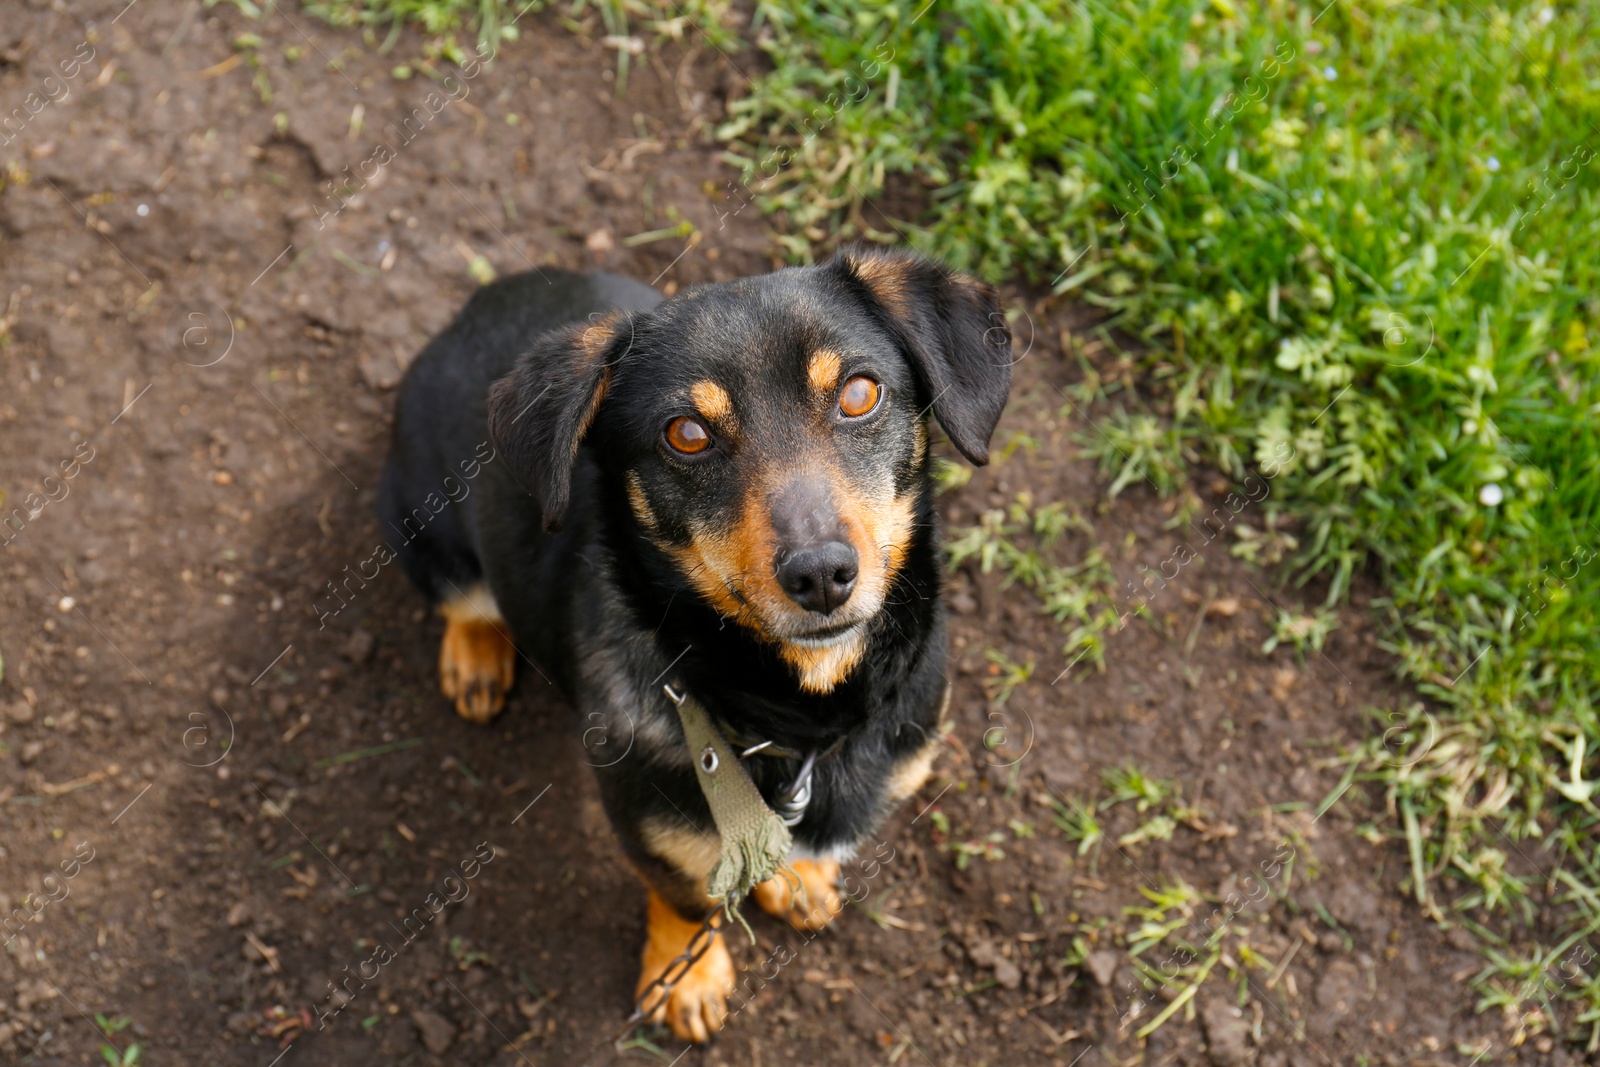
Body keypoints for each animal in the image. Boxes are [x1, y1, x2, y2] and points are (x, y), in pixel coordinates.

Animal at [382, 246, 1011, 1036]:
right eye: (687, 434)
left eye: (860, 393)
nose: (821, 574)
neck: (800, 717)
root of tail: (477, 305)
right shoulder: (654, 833)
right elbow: (689, 904)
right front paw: (684, 980)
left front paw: (799, 876)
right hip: (426, 533)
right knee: (464, 601)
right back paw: (475, 661)